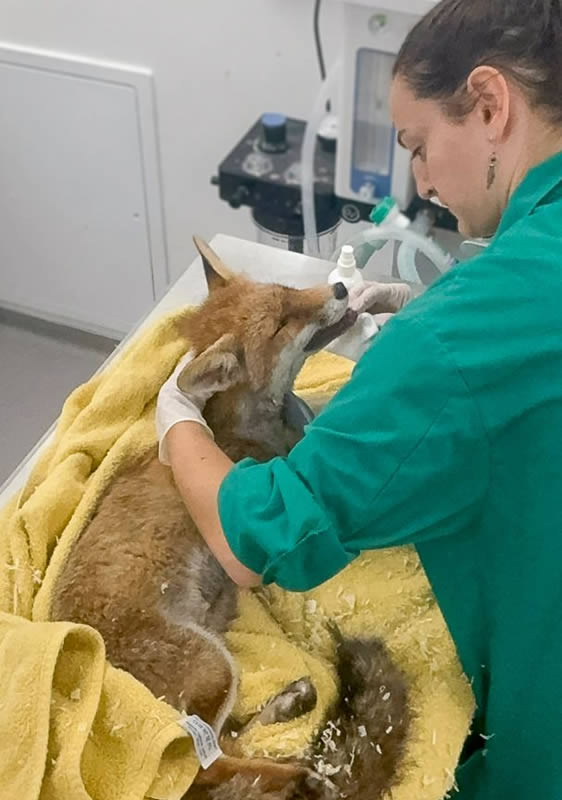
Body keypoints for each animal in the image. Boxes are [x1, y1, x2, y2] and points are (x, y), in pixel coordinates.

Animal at [51, 237, 411, 800]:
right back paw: (299, 773)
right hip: (212, 667)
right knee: (207, 769)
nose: (338, 288)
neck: (242, 428)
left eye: (288, 291)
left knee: (225, 746)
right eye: (282, 322)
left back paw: (290, 708)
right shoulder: (281, 476)